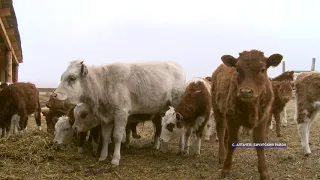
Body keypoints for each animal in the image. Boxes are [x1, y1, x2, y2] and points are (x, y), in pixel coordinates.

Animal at [51, 60, 185, 166]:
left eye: (72, 78)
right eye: (62, 77)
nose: (54, 94)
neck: (105, 84)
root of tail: (177, 65)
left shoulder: (121, 114)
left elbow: (117, 136)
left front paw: (115, 159)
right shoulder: (106, 117)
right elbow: (105, 137)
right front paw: (103, 156)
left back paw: (181, 148)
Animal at [212, 49, 282, 180]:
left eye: (262, 69)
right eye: (237, 69)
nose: (245, 91)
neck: (251, 106)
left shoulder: (263, 118)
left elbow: (260, 143)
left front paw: (264, 172)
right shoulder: (231, 117)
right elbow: (232, 142)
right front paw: (226, 168)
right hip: (217, 109)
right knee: (221, 130)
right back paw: (222, 155)